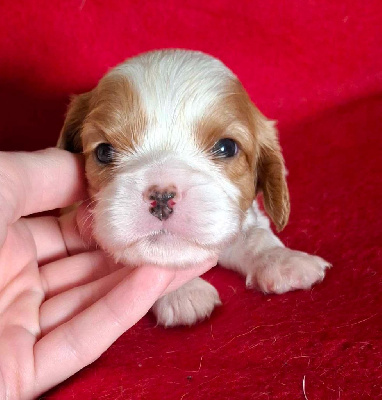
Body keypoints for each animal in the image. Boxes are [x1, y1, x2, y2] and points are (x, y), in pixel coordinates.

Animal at [58, 50, 330, 326]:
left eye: (227, 147)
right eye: (104, 151)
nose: (162, 196)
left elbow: (255, 235)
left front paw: (283, 259)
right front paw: (183, 293)